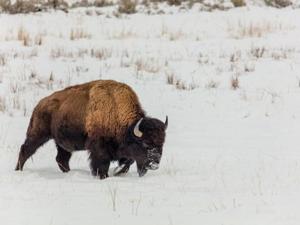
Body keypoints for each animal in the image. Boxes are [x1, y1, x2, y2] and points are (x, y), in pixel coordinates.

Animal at [15, 80, 168, 178]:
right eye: (146, 143)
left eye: (162, 143)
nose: (154, 164)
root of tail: (40, 104)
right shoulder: (98, 148)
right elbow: (102, 163)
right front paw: (103, 175)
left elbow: (129, 161)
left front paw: (118, 171)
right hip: (38, 134)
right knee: (25, 150)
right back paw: (18, 170)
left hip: (62, 144)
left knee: (61, 159)